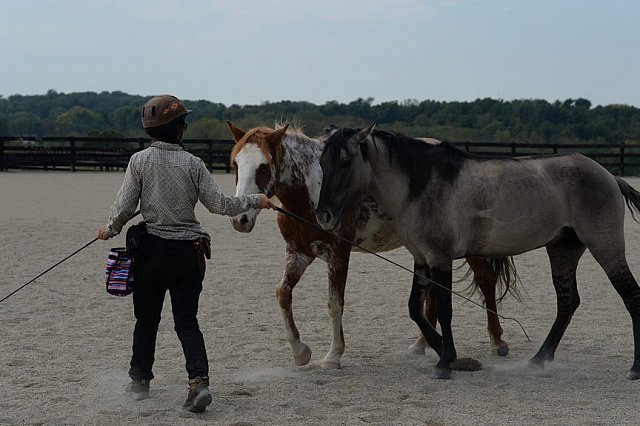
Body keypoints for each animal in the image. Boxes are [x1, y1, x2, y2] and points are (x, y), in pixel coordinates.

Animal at [228, 121, 516, 368]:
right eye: (236, 164)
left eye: (263, 166)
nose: (240, 219)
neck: (312, 192)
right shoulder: (298, 252)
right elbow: (283, 294)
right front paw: (300, 352)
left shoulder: (339, 253)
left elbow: (335, 302)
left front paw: (333, 355)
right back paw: (421, 345)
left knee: (486, 280)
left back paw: (497, 341)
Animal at [314, 124, 640, 380]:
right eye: (321, 161)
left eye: (345, 161)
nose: (323, 216)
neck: (422, 184)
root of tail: (609, 176)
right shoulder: (421, 259)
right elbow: (415, 309)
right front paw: (443, 352)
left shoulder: (440, 259)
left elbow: (444, 310)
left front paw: (445, 361)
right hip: (562, 250)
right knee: (567, 303)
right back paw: (539, 360)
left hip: (606, 247)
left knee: (631, 297)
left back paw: (634, 369)